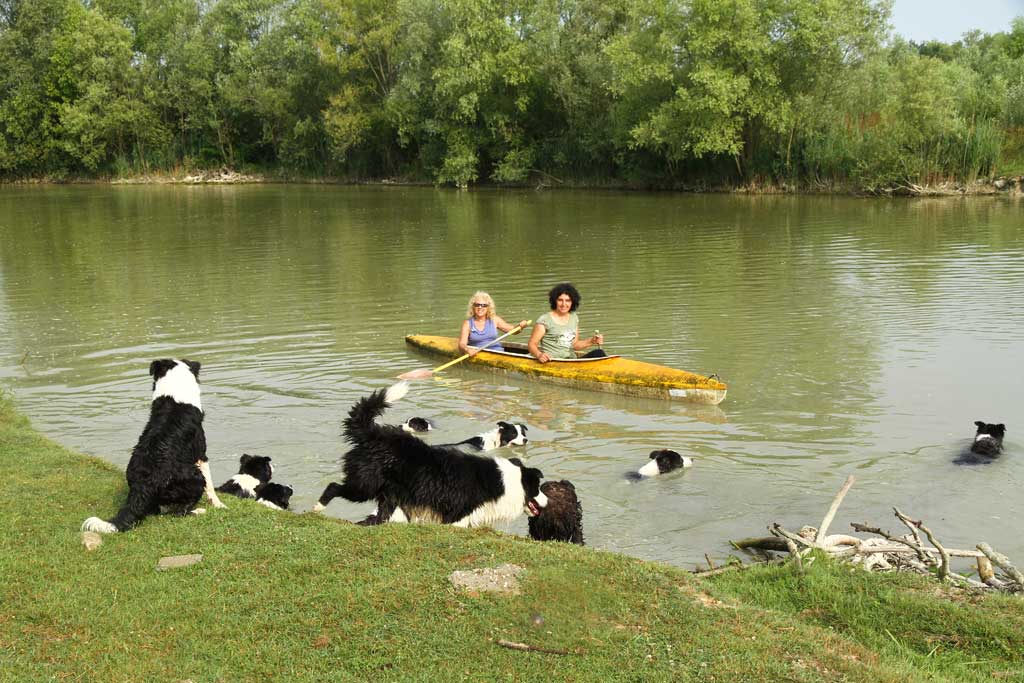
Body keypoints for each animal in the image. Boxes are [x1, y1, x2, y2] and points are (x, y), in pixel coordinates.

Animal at [83, 358, 228, 532]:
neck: (175, 395)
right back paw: (198, 511)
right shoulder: (201, 454)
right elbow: (211, 487)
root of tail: (145, 484)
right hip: (195, 476)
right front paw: (219, 505)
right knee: (179, 511)